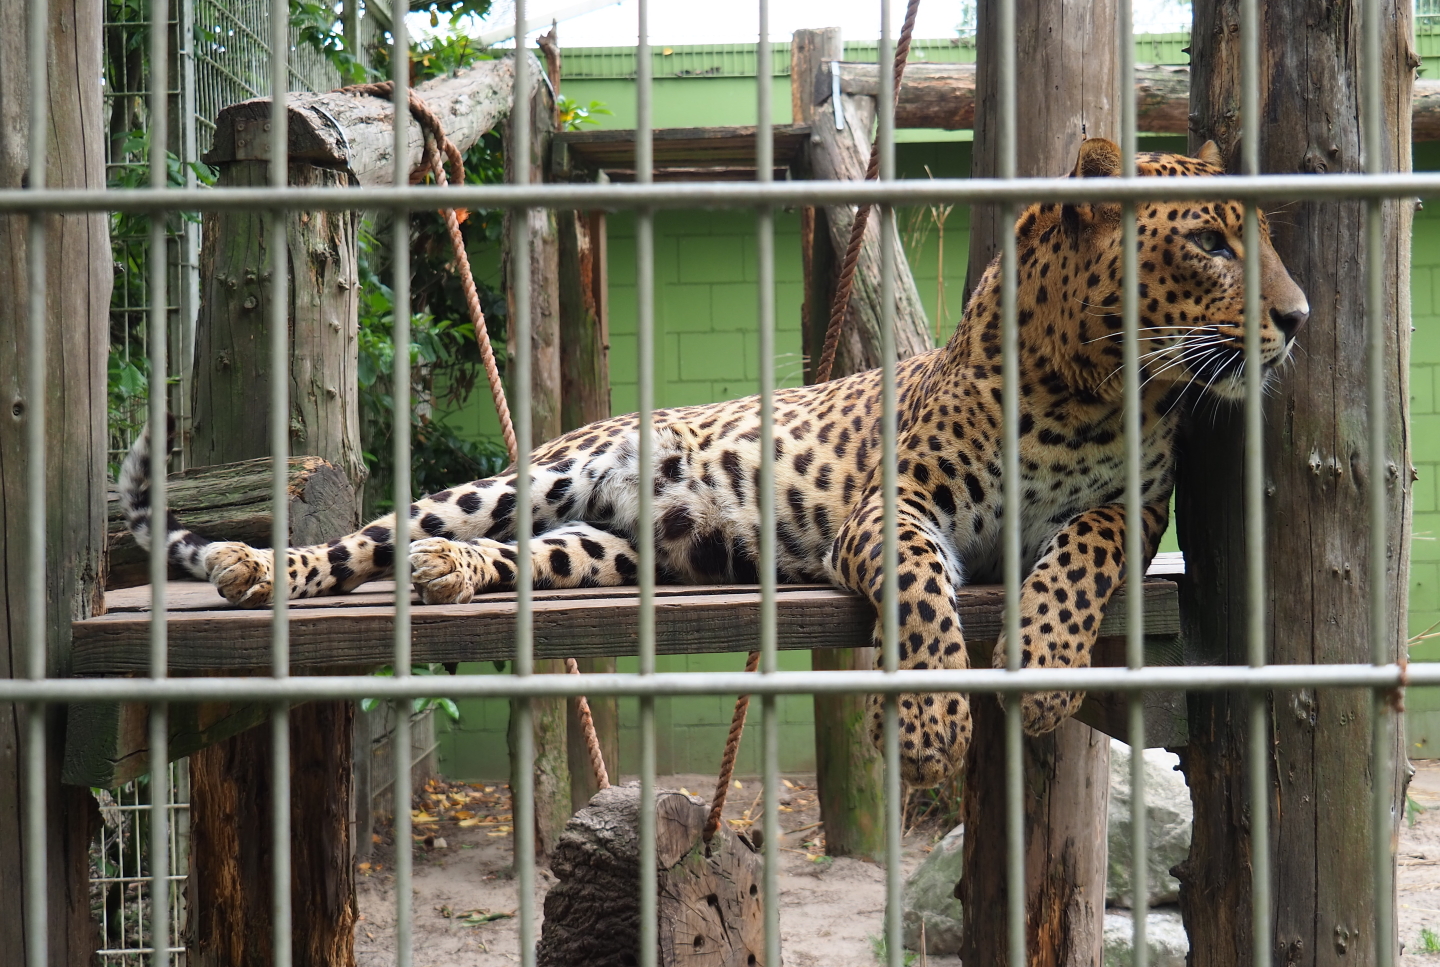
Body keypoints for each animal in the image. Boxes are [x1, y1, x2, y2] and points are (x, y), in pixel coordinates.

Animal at [121, 137, 1309, 788]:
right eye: (1210, 242)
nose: (1298, 318)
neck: (1092, 387)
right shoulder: (891, 506)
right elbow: (927, 594)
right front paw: (934, 724)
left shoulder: (1130, 511)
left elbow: (1077, 560)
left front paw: (1049, 671)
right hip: (527, 477)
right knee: (378, 534)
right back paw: (260, 569)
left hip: (613, 554)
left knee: (520, 555)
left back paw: (453, 576)